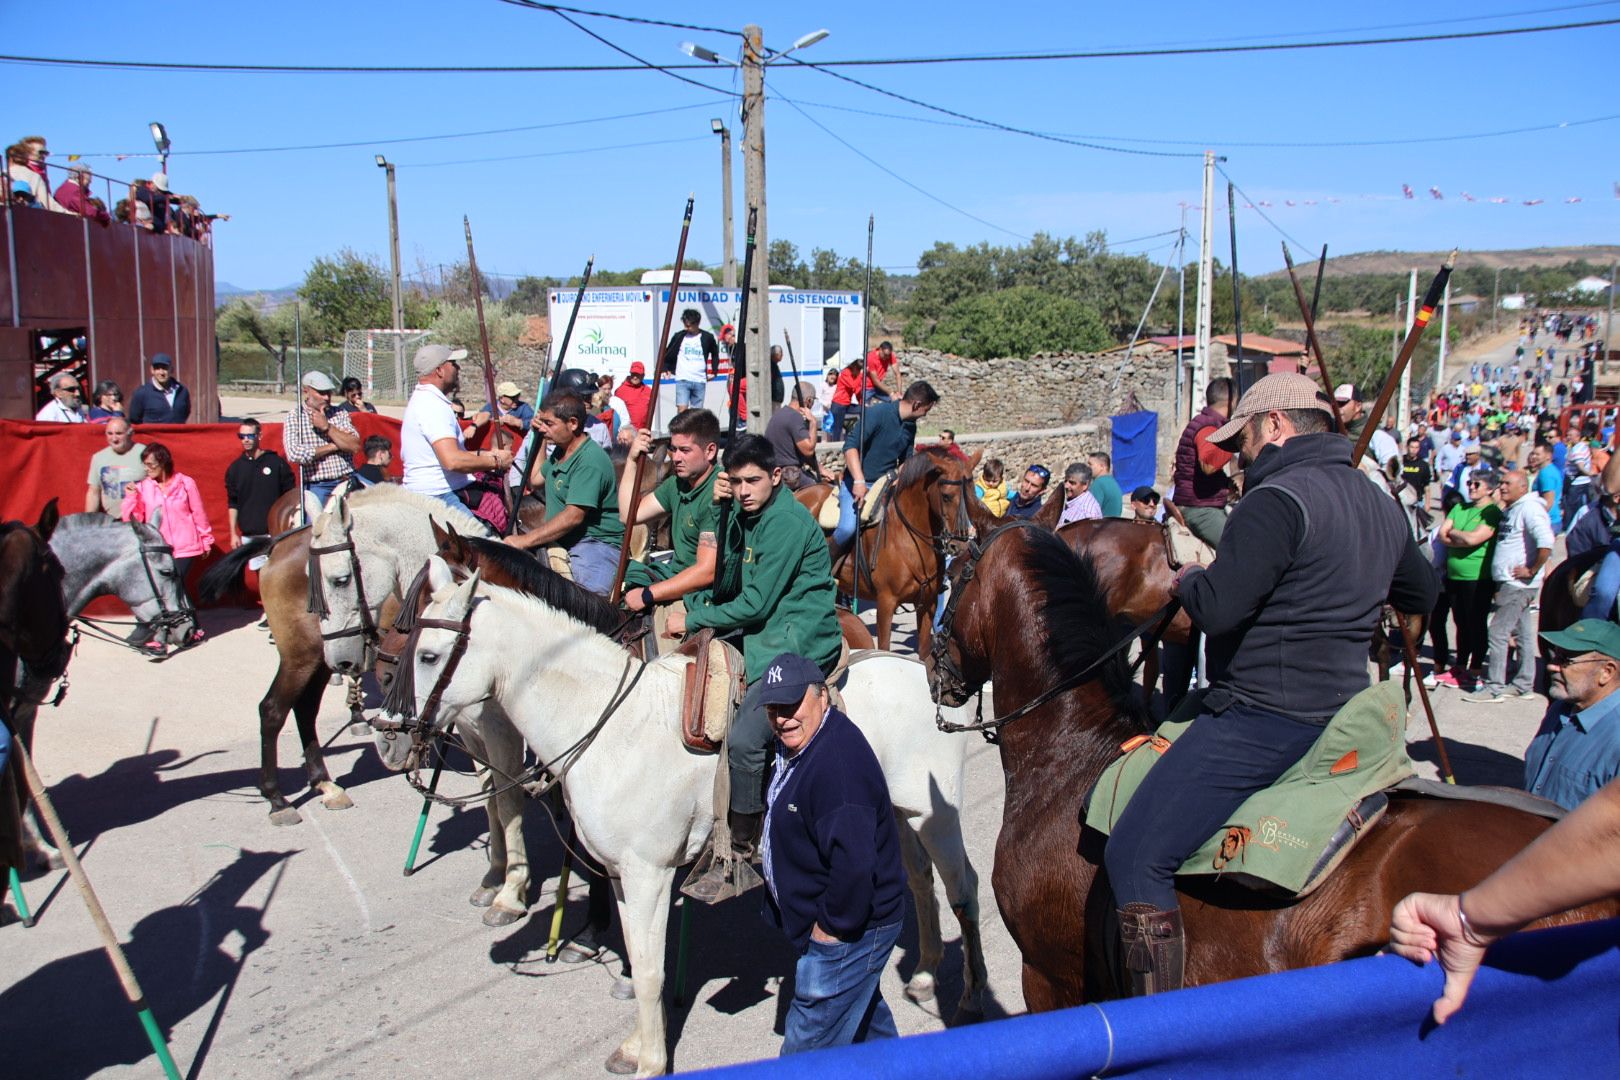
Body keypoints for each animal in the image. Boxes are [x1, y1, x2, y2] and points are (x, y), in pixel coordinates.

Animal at [411, 563, 978, 1075]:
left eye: (428, 655)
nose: (401, 729)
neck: (611, 723)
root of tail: (925, 678)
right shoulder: (620, 874)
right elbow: (637, 956)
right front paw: (636, 1048)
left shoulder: (650, 874)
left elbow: (650, 972)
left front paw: (651, 1062)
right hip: (900, 814)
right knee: (919, 881)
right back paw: (925, 973)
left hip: (936, 814)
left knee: (961, 886)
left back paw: (969, 998)